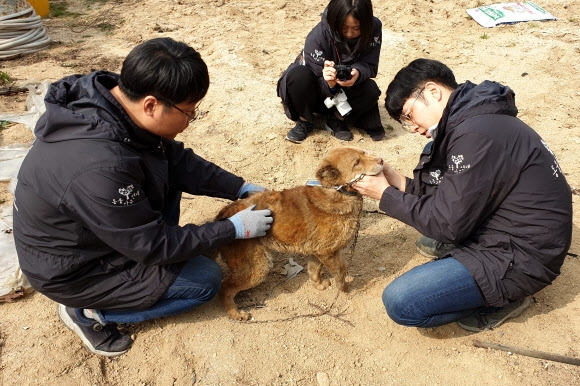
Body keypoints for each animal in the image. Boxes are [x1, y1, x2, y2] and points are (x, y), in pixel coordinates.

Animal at [215, 146, 382, 320]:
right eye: (357, 162)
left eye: (364, 152)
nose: (381, 160)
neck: (338, 192)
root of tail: (223, 216)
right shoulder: (329, 252)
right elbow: (341, 271)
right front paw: (345, 289)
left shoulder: (318, 251)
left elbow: (314, 270)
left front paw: (319, 285)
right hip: (257, 268)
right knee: (224, 288)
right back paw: (235, 313)